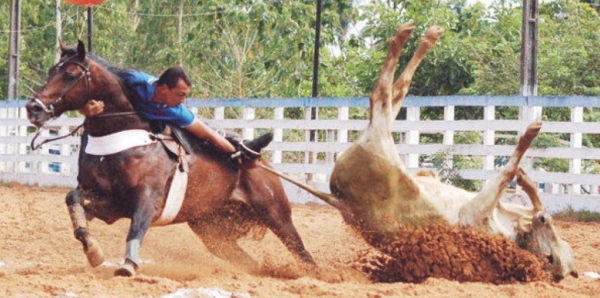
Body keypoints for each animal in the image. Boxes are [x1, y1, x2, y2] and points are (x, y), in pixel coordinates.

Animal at [24, 40, 314, 278]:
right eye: (51, 71)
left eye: (70, 74)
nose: (33, 108)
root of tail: (263, 163)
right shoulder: (109, 202)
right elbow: (73, 201)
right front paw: (94, 251)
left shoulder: (147, 200)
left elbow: (137, 228)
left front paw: (128, 264)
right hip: (212, 231)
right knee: (250, 264)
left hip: (276, 214)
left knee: (304, 255)